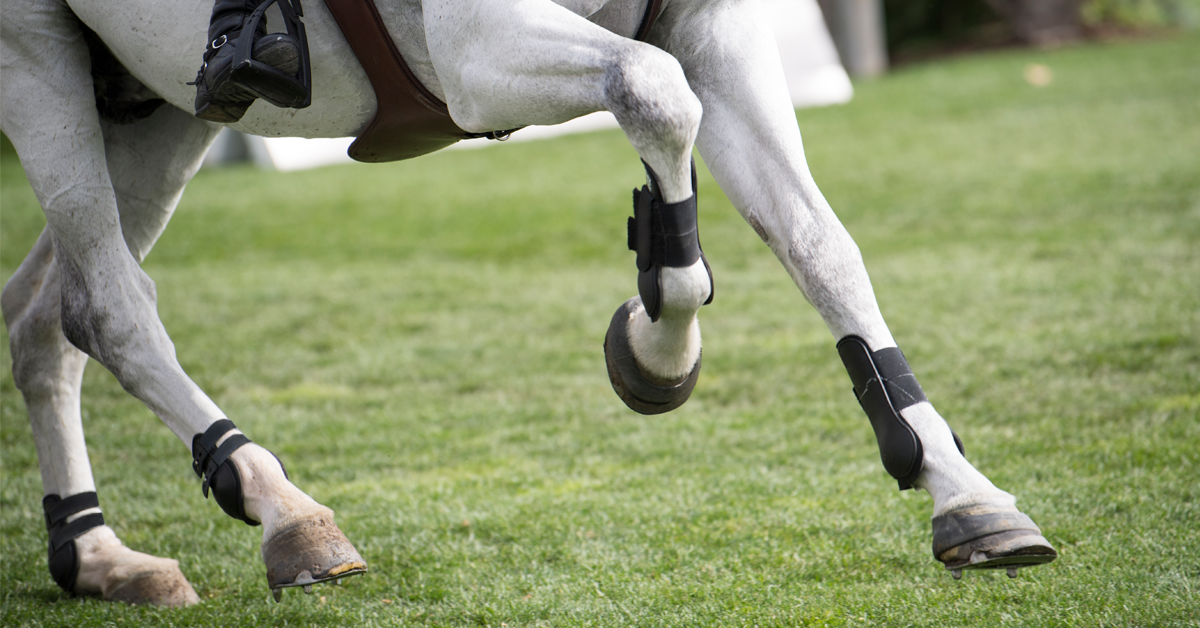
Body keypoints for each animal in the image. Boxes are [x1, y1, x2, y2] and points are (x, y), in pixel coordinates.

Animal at [0, 0, 1056, 607]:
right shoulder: (476, 46)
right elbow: (653, 91)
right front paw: (658, 350)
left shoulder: (714, 25)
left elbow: (819, 247)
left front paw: (961, 490)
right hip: (35, 56)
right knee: (109, 308)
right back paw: (282, 509)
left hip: (158, 104)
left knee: (47, 319)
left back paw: (100, 558)